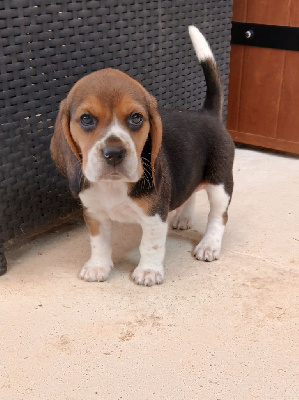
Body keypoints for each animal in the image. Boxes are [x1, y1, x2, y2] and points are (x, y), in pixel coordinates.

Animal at [51, 26, 234, 286]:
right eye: (86, 119)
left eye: (136, 118)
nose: (114, 153)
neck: (113, 185)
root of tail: (208, 114)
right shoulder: (95, 214)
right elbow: (99, 243)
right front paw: (98, 267)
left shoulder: (154, 217)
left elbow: (150, 245)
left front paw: (148, 271)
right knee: (190, 193)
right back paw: (184, 218)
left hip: (220, 183)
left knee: (218, 216)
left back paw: (209, 245)